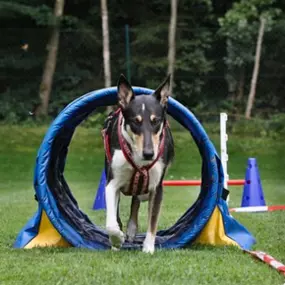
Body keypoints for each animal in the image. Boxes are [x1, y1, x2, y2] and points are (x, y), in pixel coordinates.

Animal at [102, 74, 173, 253]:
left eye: (155, 121)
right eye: (136, 121)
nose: (149, 154)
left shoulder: (156, 187)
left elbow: (152, 221)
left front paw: (148, 247)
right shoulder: (112, 183)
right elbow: (111, 222)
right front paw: (117, 239)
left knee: (136, 200)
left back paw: (132, 229)